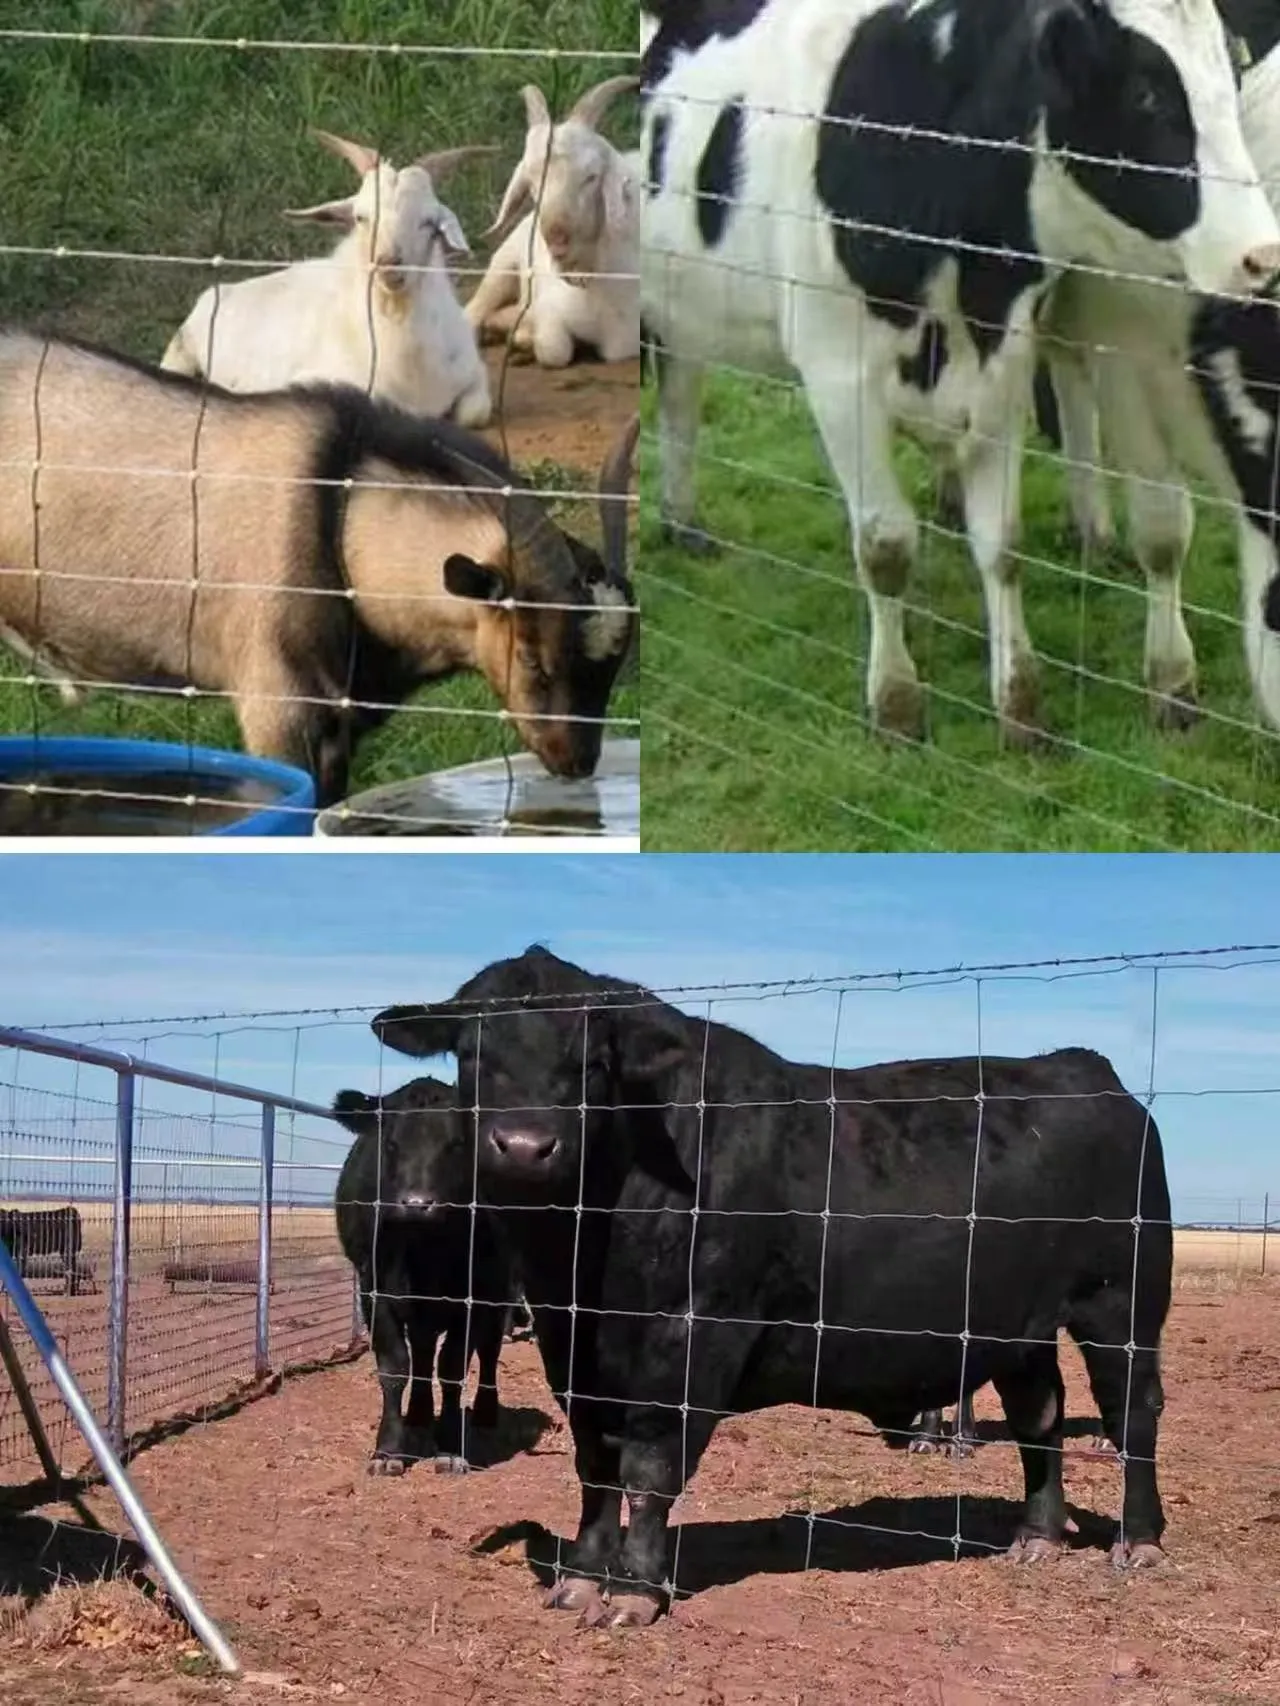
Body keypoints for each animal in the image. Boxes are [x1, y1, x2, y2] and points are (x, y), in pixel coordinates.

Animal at [332, 1076, 511, 1474]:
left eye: (457, 1144)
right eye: (391, 1143)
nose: (416, 1204)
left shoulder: (475, 1294)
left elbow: (453, 1366)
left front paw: (451, 1446)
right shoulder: (375, 1290)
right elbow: (396, 1366)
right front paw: (387, 1450)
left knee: (488, 1351)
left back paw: (485, 1413)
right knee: (424, 1352)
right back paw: (417, 1415)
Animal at [371, 945, 1174, 1628]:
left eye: (594, 1062)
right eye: (472, 1053)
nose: (525, 1146)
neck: (579, 1252)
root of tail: (1083, 1067)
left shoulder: (695, 1336)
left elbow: (650, 1465)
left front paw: (634, 1590)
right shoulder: (570, 1346)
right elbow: (595, 1464)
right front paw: (581, 1578)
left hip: (1122, 1302)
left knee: (1131, 1413)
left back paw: (1139, 1540)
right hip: (1021, 1323)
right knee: (1040, 1413)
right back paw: (1038, 1535)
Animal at [640, 0, 1280, 745]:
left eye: (1232, 79)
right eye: (1145, 94)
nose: (1263, 256)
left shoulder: (1004, 367)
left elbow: (1002, 546)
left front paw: (1019, 702)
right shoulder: (838, 382)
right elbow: (885, 546)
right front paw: (895, 703)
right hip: (670, 299)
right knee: (680, 395)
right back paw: (681, 520)